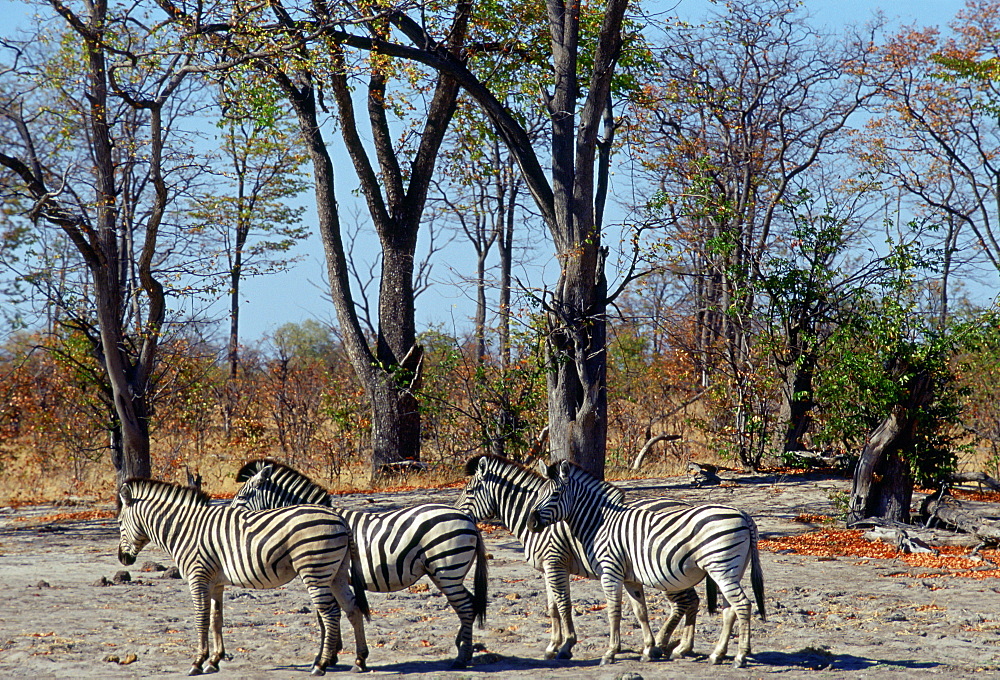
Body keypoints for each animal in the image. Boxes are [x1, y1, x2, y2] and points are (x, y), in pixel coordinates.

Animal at [114, 478, 372, 676]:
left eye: (118, 523)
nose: (123, 559)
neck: (185, 529)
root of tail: (340, 518)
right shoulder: (215, 582)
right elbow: (216, 619)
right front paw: (214, 661)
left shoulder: (198, 578)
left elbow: (201, 619)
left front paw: (198, 662)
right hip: (337, 572)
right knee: (352, 608)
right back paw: (359, 660)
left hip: (315, 570)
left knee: (331, 613)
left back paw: (321, 664)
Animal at [230, 456, 488, 668]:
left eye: (241, 497)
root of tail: (467, 518)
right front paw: (333, 654)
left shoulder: (323, 573)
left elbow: (323, 616)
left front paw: (326, 657)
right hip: (444, 572)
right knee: (470, 603)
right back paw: (463, 647)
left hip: (447, 569)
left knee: (465, 606)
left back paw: (461, 658)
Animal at [458, 454, 704, 660]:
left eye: (469, 491)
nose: (457, 514)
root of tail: (685, 503)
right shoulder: (548, 568)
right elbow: (552, 607)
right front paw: (552, 646)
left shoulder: (555, 563)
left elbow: (563, 604)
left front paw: (566, 646)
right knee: (691, 601)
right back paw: (680, 647)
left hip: (665, 572)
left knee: (684, 602)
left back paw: (666, 644)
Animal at [532, 460, 764, 668]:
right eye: (539, 493)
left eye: (554, 495)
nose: (530, 522)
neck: (599, 524)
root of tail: (743, 515)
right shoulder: (629, 577)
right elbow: (640, 611)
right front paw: (648, 650)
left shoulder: (610, 571)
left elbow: (613, 611)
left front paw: (610, 653)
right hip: (730, 570)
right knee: (730, 610)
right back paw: (717, 654)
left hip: (722, 567)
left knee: (742, 605)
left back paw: (740, 657)